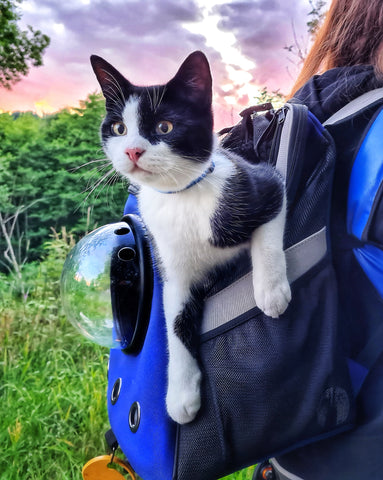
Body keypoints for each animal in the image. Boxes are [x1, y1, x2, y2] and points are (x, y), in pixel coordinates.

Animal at [91, 49, 292, 424]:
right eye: (119, 128)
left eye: (164, 127)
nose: (132, 151)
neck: (181, 196)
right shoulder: (170, 268)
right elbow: (175, 320)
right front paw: (181, 394)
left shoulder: (266, 182)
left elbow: (268, 234)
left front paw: (270, 291)